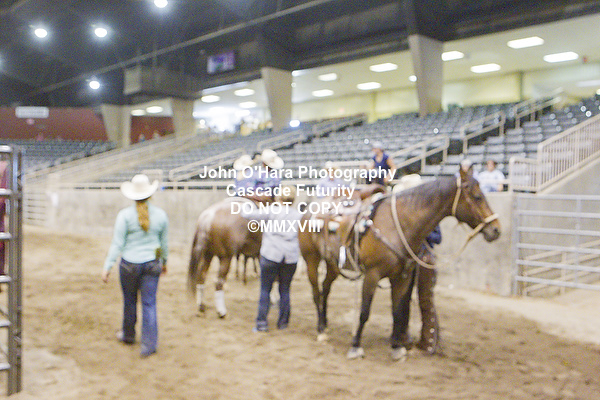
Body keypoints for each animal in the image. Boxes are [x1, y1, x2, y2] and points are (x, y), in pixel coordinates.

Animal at [299, 168, 500, 360]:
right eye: (477, 196)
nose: (496, 229)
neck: (397, 226)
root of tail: (309, 209)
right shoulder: (372, 275)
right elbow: (364, 312)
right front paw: (355, 346)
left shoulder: (402, 277)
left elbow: (397, 311)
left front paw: (396, 347)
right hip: (311, 260)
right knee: (316, 292)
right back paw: (320, 330)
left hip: (333, 263)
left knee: (325, 289)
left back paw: (325, 324)